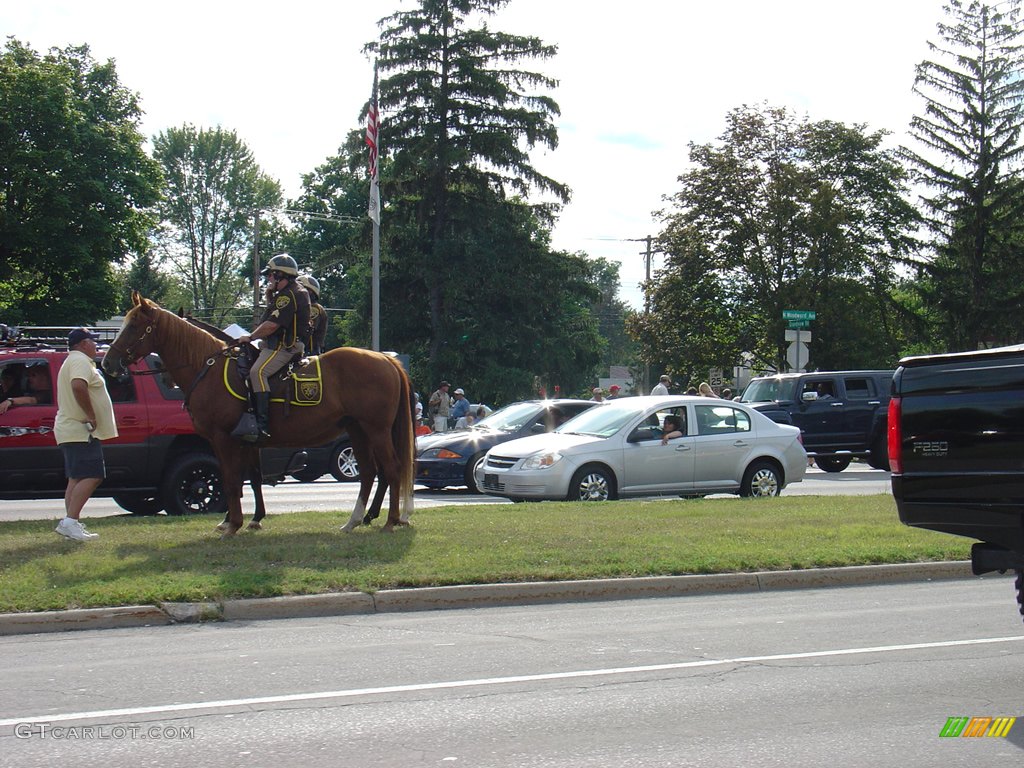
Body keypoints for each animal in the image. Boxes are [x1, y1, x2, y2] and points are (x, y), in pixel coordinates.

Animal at [99, 292, 411, 536]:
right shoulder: (247, 441)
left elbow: (229, 479)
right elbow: (250, 478)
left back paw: (391, 520)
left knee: (391, 468)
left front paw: (234, 523)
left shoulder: (222, 438)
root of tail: (387, 360)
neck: (208, 368)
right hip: (357, 429)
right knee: (369, 472)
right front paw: (247, 519)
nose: (108, 363)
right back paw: (355, 520)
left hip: (376, 430)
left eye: (134, 325)